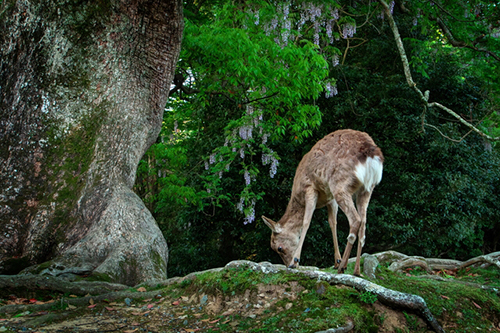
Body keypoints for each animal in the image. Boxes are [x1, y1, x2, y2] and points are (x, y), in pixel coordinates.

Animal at [262, 129, 382, 274]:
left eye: (279, 248)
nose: (287, 264)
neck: (297, 194)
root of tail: (372, 155)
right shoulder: (330, 198)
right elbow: (332, 223)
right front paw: (336, 260)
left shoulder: (310, 188)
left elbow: (306, 222)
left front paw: (295, 261)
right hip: (366, 189)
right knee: (363, 225)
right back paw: (356, 270)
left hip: (340, 185)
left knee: (355, 220)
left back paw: (343, 267)